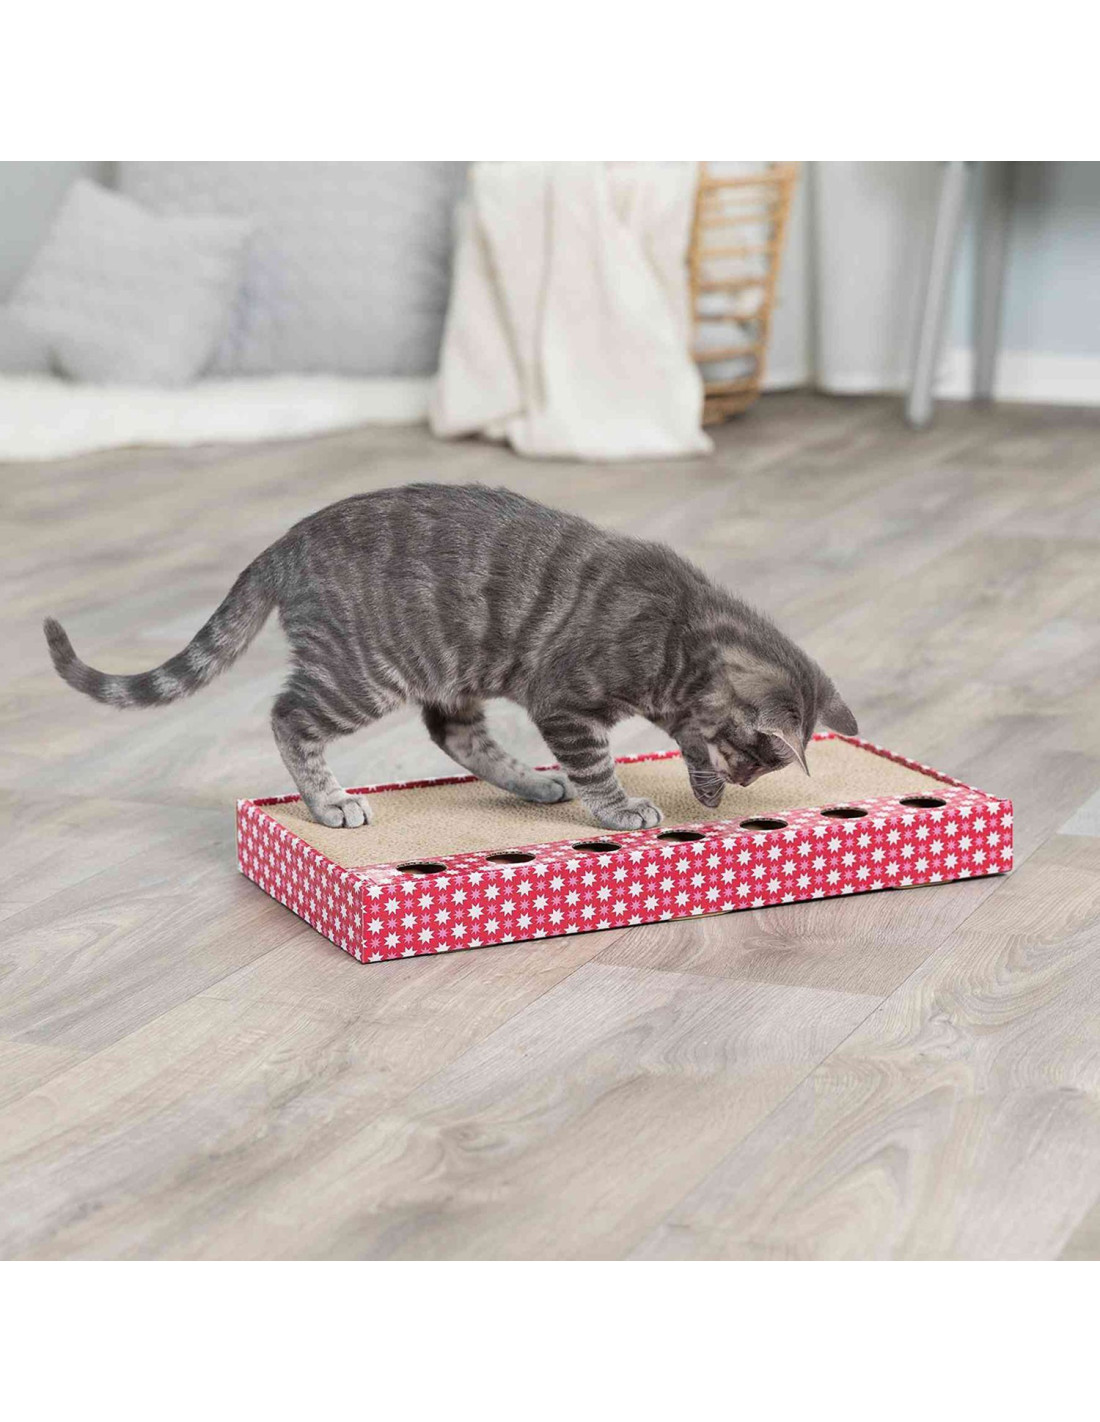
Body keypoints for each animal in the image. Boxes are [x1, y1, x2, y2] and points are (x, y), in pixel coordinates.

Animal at [44, 482, 857, 831]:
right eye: (752, 755)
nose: (744, 785)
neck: (682, 633)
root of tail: (286, 541)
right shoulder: (566, 701)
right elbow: (598, 764)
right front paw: (620, 806)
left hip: (448, 668)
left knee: (454, 735)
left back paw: (531, 783)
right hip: (362, 673)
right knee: (288, 718)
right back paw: (329, 802)